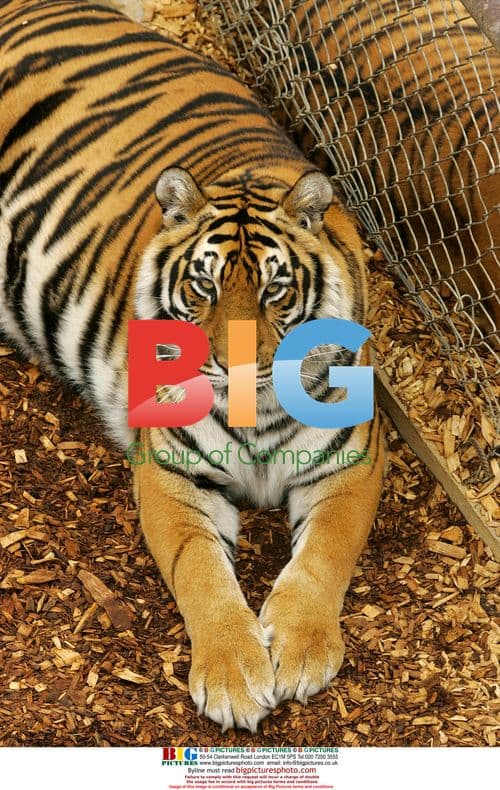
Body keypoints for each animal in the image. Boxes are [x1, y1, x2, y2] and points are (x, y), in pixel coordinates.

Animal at [0, 0, 384, 731]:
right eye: (204, 286)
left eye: (274, 290)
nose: (232, 369)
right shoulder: (171, 476)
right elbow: (201, 571)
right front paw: (234, 675)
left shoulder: (351, 467)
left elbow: (325, 552)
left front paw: (299, 649)